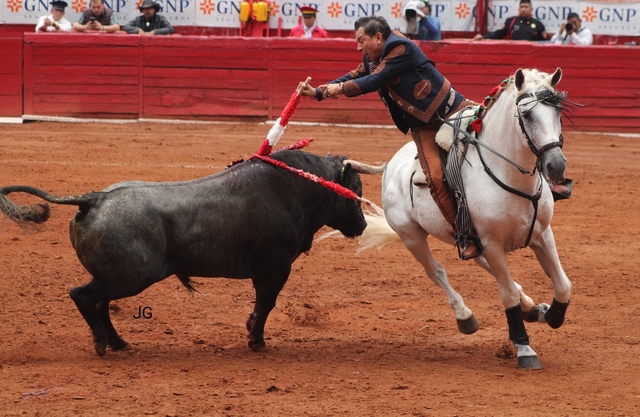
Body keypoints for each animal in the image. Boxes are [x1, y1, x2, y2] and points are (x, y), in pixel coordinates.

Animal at [0, 149, 381, 356]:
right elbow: (267, 304)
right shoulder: (276, 267)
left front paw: (251, 333)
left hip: (116, 277)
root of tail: (93, 198)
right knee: (82, 296)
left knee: (99, 304)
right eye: (356, 188)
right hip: (131, 277)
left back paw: (118, 342)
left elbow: (261, 304)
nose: (362, 225)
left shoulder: (265, 271)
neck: (294, 189)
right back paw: (102, 344)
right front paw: (256, 341)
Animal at [360, 68, 573, 369]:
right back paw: (465, 315)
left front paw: (550, 315)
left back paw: (531, 306)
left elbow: (563, 285)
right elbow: (506, 294)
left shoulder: (542, 234)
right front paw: (524, 348)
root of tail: (391, 166)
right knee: (436, 271)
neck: (508, 173)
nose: (556, 166)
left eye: (557, 112)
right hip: (411, 235)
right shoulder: (492, 243)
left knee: (483, 265)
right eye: (528, 114)